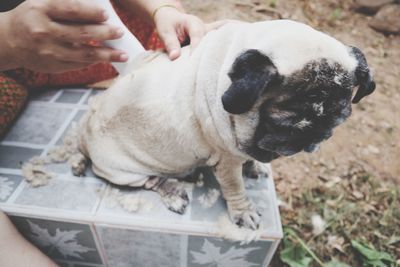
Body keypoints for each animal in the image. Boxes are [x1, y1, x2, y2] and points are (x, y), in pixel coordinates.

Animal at [71, 20, 376, 230]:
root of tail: (85, 136)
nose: (315, 136)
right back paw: (175, 191)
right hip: (123, 172)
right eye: (284, 125)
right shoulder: (228, 161)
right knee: (152, 181)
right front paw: (244, 211)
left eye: (337, 120)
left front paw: (257, 166)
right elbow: (236, 188)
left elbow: (253, 157)